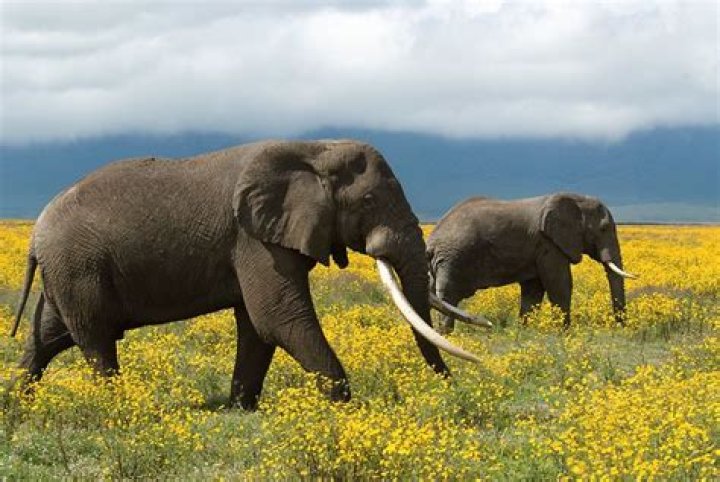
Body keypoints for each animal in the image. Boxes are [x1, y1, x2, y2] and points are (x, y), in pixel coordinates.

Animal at [10, 139, 481, 410]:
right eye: (368, 200)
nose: (450, 385)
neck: (314, 150)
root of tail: (36, 234)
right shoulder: (253, 238)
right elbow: (278, 317)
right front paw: (343, 406)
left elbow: (257, 326)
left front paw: (241, 409)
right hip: (78, 266)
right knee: (95, 338)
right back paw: (118, 408)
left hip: (69, 269)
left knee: (50, 335)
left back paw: (18, 404)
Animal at [426, 193, 637, 332]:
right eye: (603, 229)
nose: (620, 328)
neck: (575, 199)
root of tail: (431, 241)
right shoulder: (549, 244)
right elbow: (560, 284)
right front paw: (564, 332)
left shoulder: (539, 249)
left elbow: (533, 290)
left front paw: (524, 331)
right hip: (452, 258)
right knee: (448, 296)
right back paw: (446, 334)